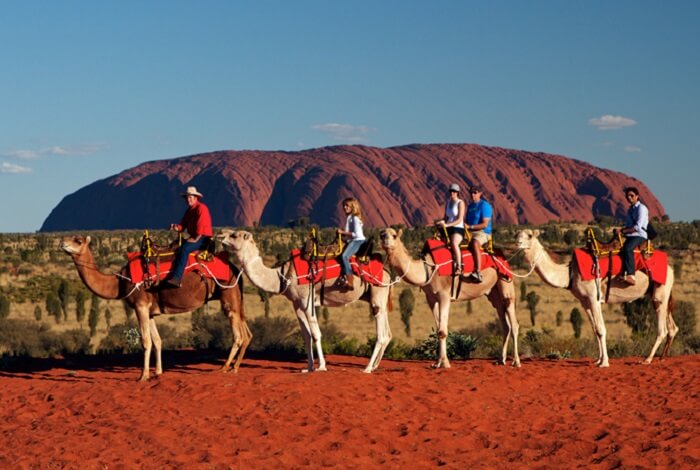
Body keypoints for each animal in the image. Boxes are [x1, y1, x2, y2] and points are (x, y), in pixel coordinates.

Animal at [61, 235, 251, 381]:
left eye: (78, 240)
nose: (63, 243)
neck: (119, 282)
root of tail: (235, 269)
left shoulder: (140, 305)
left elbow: (145, 341)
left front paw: (143, 376)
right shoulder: (151, 311)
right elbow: (157, 340)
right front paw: (158, 372)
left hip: (228, 294)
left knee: (238, 335)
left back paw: (225, 367)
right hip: (236, 297)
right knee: (246, 332)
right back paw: (234, 367)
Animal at [218, 229, 393, 373]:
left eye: (234, 235)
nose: (220, 235)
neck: (282, 275)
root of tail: (387, 273)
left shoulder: (306, 300)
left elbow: (316, 334)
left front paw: (321, 366)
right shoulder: (297, 304)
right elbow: (306, 336)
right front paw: (308, 368)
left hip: (377, 294)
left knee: (381, 334)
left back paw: (367, 368)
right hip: (379, 298)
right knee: (387, 333)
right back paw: (375, 366)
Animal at [379, 228, 520, 368]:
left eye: (394, 235)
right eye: (382, 235)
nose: (385, 240)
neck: (428, 269)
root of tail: (503, 256)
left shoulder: (444, 295)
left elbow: (442, 331)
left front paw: (445, 363)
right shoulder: (431, 298)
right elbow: (437, 330)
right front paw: (437, 363)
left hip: (506, 283)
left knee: (513, 322)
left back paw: (516, 361)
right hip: (493, 293)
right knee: (504, 322)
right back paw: (501, 360)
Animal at [515, 229, 677, 367]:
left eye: (529, 235)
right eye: (517, 234)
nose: (517, 242)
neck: (570, 273)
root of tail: (670, 269)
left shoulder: (594, 298)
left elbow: (600, 329)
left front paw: (604, 363)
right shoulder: (584, 301)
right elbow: (594, 330)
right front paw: (598, 360)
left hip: (660, 293)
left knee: (662, 329)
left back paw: (647, 359)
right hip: (659, 294)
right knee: (672, 328)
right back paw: (662, 357)